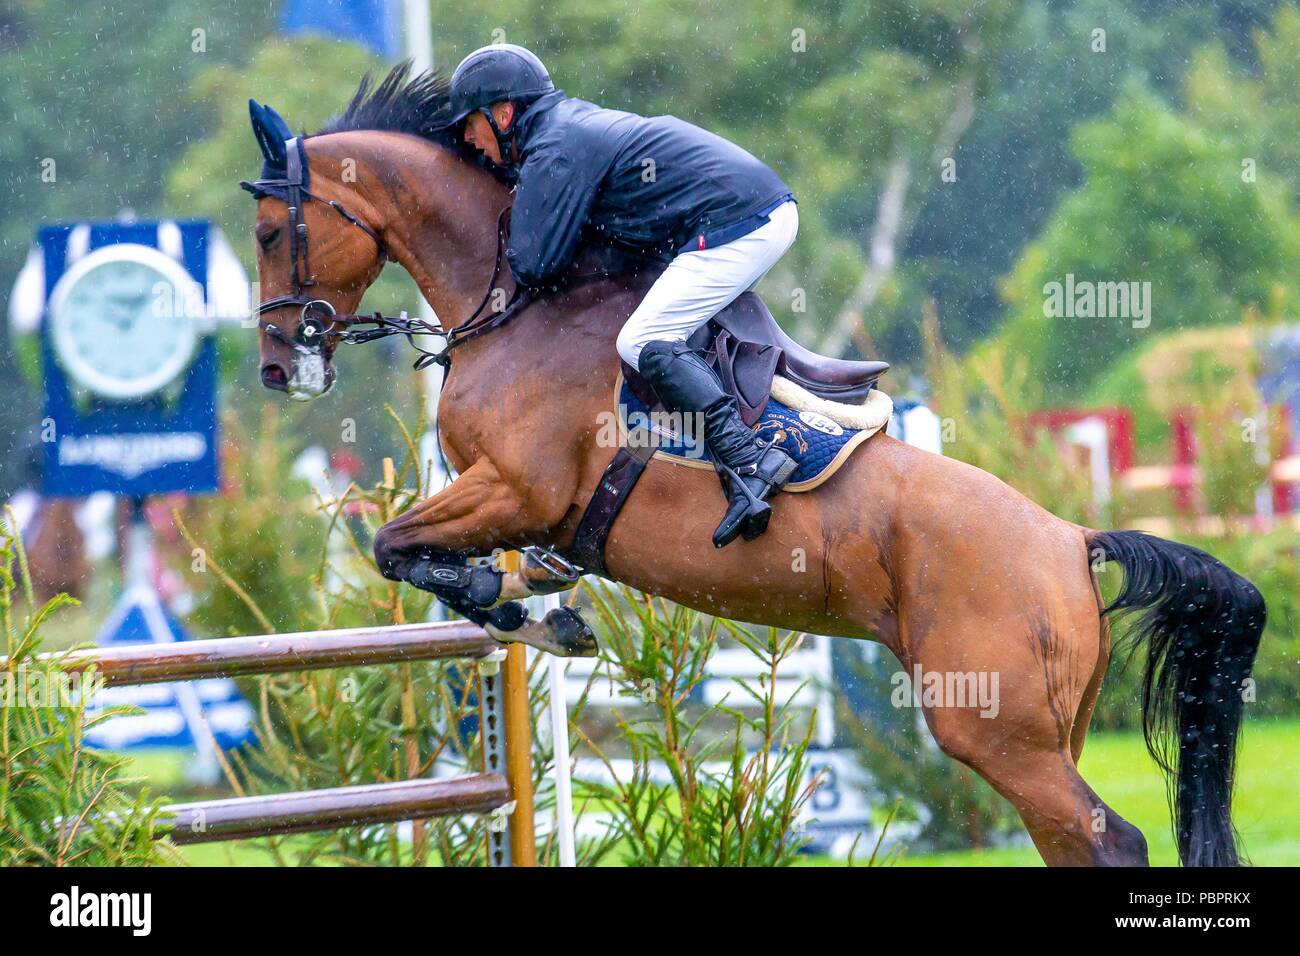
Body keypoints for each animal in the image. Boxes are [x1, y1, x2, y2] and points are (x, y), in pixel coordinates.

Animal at [244, 67, 1258, 868]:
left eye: (265, 232)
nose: (278, 370)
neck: (517, 306)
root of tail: (1074, 541)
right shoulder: (509, 505)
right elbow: (429, 556)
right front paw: (537, 607)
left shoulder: (514, 486)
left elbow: (396, 547)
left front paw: (519, 609)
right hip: (1047, 730)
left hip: (993, 727)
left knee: (1107, 839)